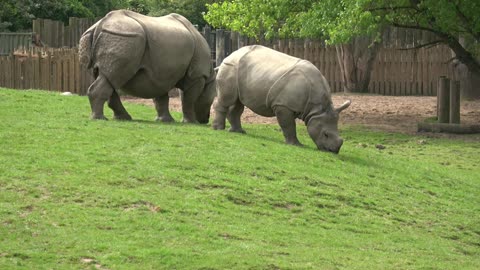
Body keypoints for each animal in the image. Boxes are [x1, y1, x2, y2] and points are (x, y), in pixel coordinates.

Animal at [79, 9, 216, 123]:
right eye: (212, 100)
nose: (205, 120)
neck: (210, 76)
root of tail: (99, 25)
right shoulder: (197, 75)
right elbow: (189, 99)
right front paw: (191, 122)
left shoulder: (162, 74)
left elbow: (161, 98)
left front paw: (165, 120)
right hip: (125, 36)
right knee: (113, 77)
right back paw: (100, 119)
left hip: (114, 36)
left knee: (107, 78)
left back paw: (122, 118)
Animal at [212, 45, 350, 153]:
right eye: (326, 134)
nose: (334, 151)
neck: (316, 109)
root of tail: (228, 56)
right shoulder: (283, 105)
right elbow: (288, 125)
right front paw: (296, 145)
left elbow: (288, 124)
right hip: (231, 67)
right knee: (227, 100)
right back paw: (218, 129)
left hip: (238, 71)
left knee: (237, 103)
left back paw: (238, 132)